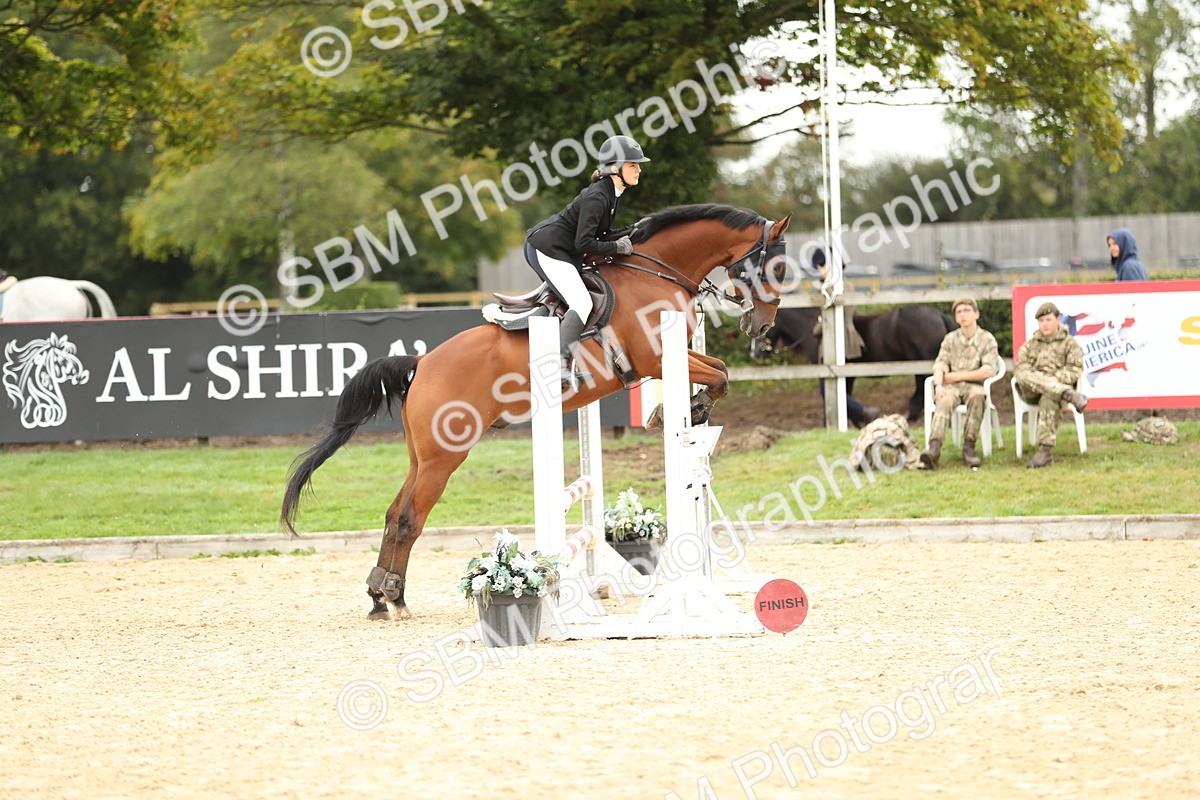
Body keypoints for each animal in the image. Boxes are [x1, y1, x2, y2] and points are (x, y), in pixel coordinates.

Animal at [282, 203, 791, 620]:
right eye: (778, 266)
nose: (761, 326)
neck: (657, 273)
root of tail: (422, 362)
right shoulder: (655, 358)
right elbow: (720, 375)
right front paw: (682, 411)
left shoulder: (674, 356)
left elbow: (720, 369)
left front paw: (690, 411)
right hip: (445, 457)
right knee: (409, 518)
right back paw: (394, 596)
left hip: (420, 456)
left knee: (393, 513)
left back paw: (380, 596)